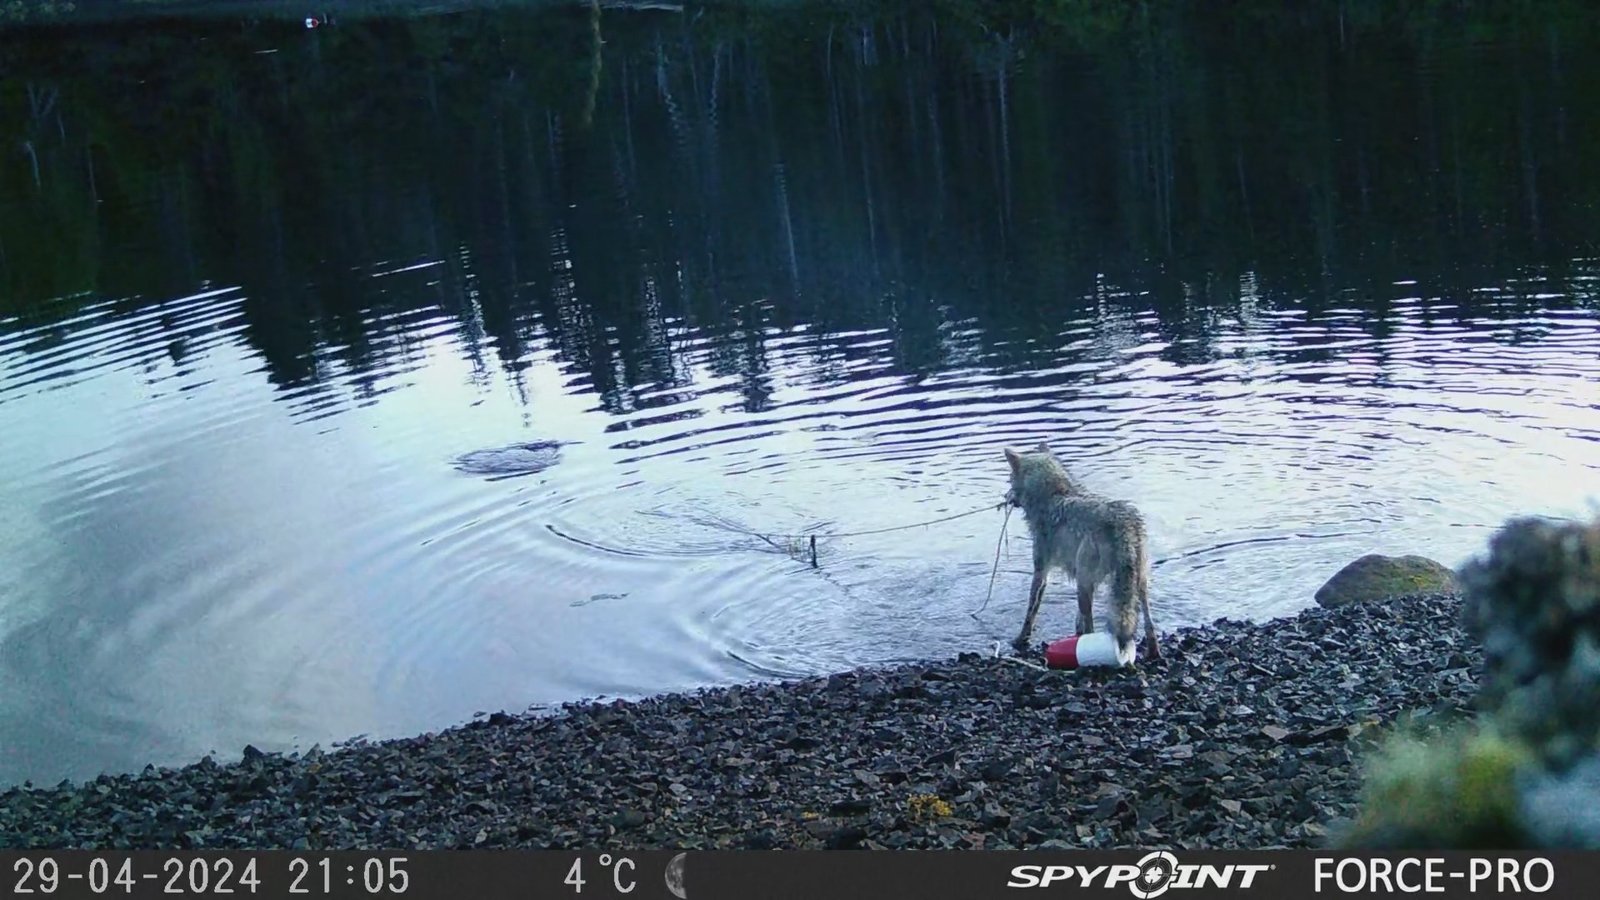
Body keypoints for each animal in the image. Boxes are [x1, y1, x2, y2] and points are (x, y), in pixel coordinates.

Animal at [1004, 443, 1160, 661]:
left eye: (1010, 479)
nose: (1005, 497)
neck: (1056, 494)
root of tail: (1124, 526)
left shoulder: (1041, 571)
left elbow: (1031, 610)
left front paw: (1020, 639)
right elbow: (1077, 618)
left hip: (1084, 583)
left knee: (1091, 626)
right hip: (1139, 584)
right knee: (1149, 625)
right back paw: (1153, 653)